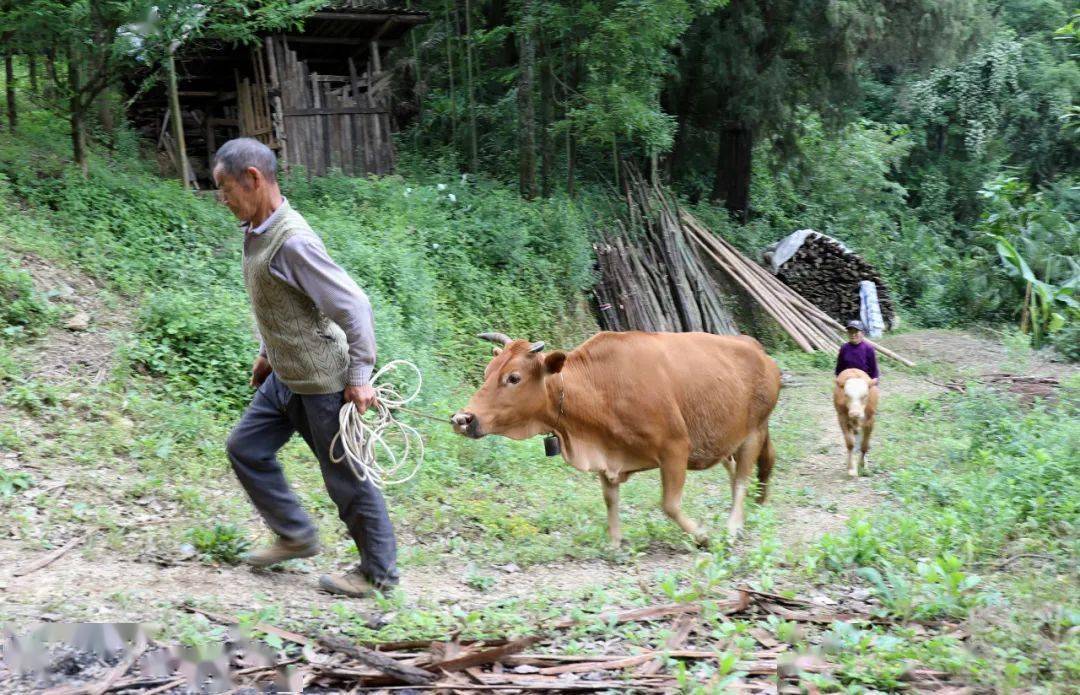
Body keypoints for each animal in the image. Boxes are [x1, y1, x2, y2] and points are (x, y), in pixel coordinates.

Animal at [451, 330, 781, 548]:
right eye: (487, 372)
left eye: (514, 377)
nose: (463, 419)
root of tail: (756, 348)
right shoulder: (607, 457)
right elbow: (610, 499)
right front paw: (614, 541)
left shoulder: (675, 447)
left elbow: (670, 504)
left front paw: (701, 534)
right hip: (726, 440)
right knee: (736, 473)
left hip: (754, 431)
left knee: (742, 480)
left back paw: (734, 526)